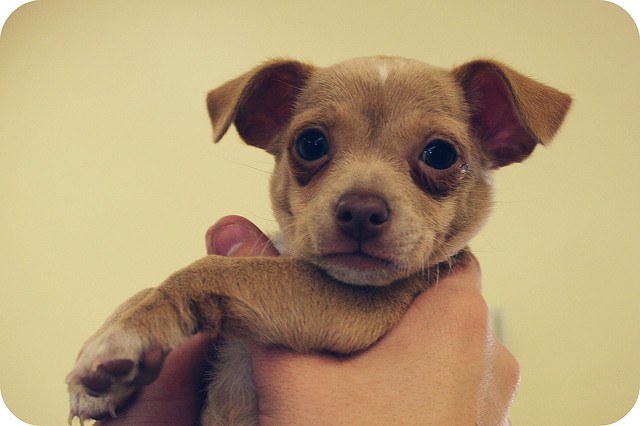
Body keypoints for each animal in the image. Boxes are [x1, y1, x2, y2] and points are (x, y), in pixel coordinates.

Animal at [67, 55, 572, 422]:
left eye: (441, 155)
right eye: (310, 144)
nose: (362, 210)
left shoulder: (351, 313)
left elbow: (207, 270)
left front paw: (124, 337)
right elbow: (145, 288)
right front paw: (110, 348)